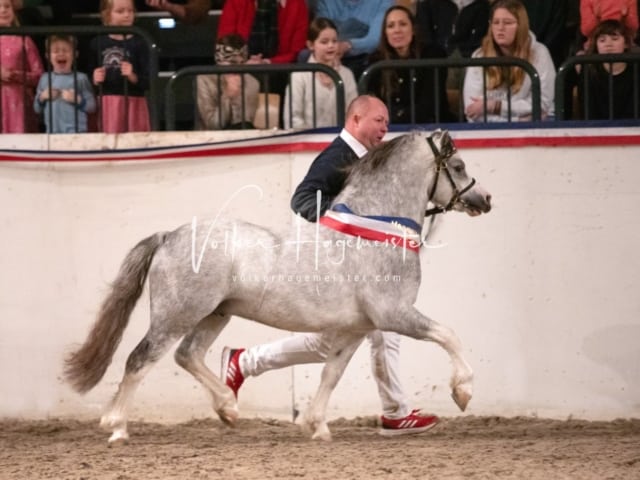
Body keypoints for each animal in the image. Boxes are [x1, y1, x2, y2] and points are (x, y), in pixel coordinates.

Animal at [63, 130, 490, 442]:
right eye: (457, 164)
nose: (484, 199)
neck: (375, 231)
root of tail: (168, 236)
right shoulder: (395, 314)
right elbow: (448, 335)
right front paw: (463, 392)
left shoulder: (356, 328)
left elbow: (331, 372)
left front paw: (316, 426)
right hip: (177, 314)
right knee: (140, 359)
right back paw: (117, 428)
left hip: (214, 313)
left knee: (188, 355)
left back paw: (228, 407)